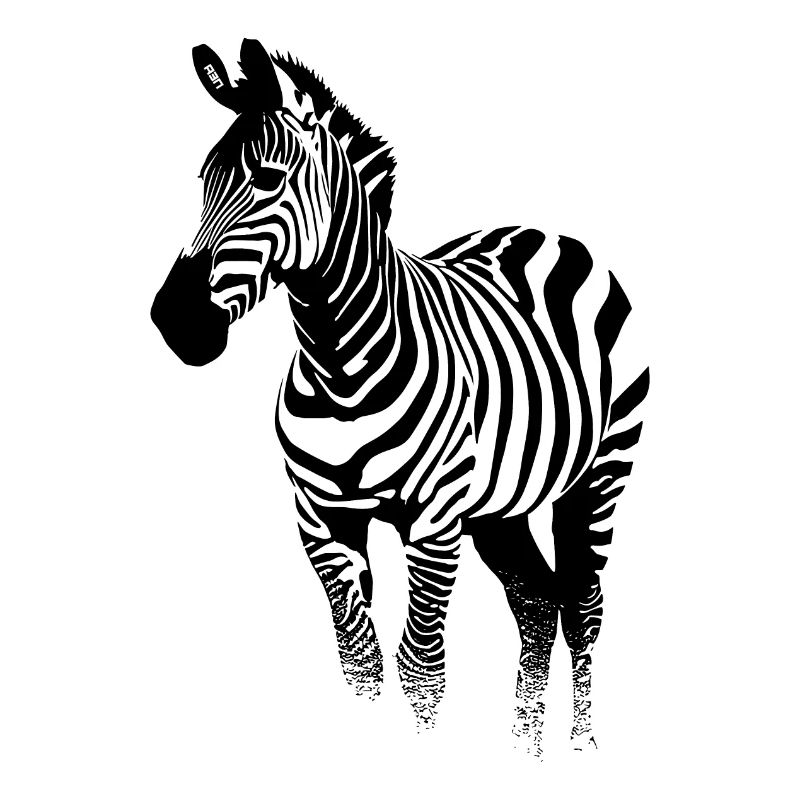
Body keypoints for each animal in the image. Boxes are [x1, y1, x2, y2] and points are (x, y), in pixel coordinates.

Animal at [151, 39, 649, 756]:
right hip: (497, 509)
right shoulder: (321, 519)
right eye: (202, 181)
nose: (173, 320)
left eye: (267, 180)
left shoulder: (434, 523)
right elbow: (359, 658)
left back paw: (580, 749)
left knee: (583, 607)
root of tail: (544, 232)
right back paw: (522, 753)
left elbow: (421, 666)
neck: (339, 363)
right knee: (535, 603)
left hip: (600, 474)